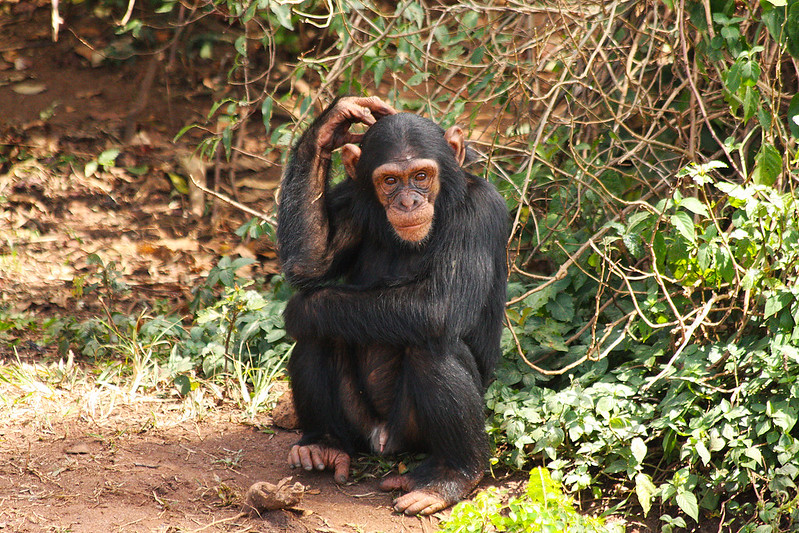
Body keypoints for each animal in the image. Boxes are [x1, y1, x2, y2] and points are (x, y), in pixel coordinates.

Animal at [278, 95, 510, 516]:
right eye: (389, 181)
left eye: (420, 175)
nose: (407, 200)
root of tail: (383, 441)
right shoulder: (349, 198)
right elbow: (311, 262)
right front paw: (333, 123)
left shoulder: (482, 211)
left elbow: (439, 306)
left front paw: (299, 308)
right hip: (358, 425)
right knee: (319, 336)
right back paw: (323, 445)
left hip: (411, 435)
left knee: (431, 348)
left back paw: (452, 476)